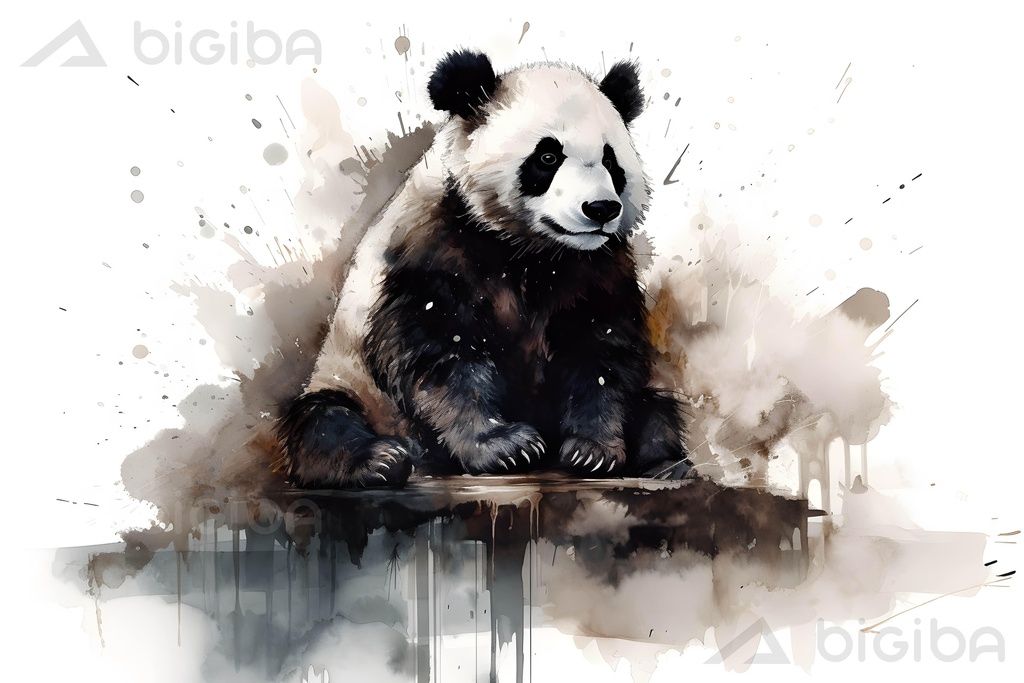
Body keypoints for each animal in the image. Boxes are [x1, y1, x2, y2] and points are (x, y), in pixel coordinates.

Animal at [276, 50, 688, 488]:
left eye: (611, 161)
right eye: (547, 157)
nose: (601, 209)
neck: (531, 249)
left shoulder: (595, 268)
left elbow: (600, 351)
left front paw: (592, 451)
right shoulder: (431, 249)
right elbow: (442, 356)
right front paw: (505, 446)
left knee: (656, 408)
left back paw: (663, 462)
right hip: (352, 382)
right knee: (323, 418)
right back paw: (379, 460)